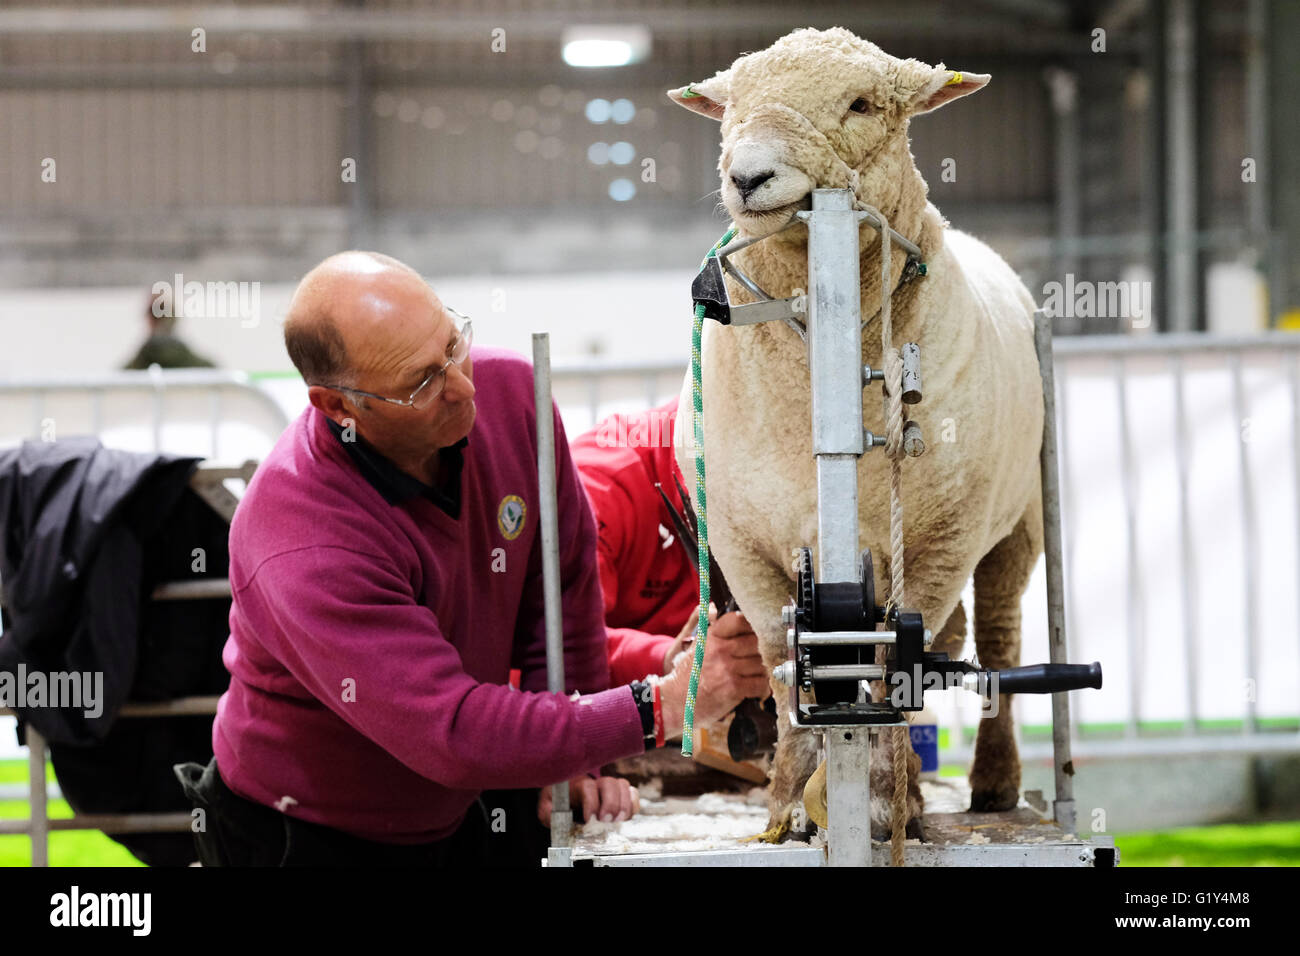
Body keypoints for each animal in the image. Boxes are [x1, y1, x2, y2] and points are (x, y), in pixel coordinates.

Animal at [670, 26, 1045, 842]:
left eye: (863, 103)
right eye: (731, 107)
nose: (747, 176)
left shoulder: (944, 540)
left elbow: (893, 665)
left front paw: (876, 802)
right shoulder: (741, 543)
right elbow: (784, 665)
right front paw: (788, 806)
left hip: (1018, 523)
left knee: (998, 637)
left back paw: (992, 782)